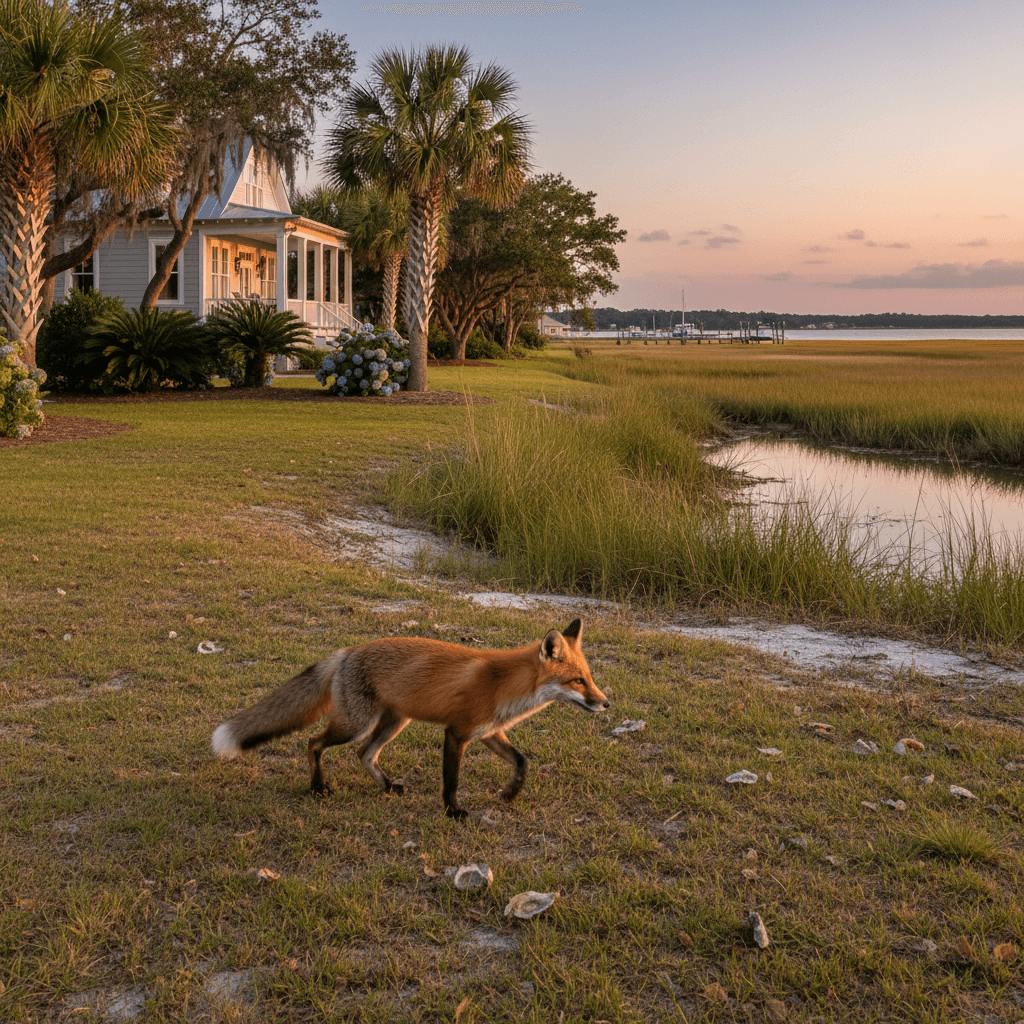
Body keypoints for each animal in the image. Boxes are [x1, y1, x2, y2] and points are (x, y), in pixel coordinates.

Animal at [211, 618, 608, 819]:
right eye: (578, 681)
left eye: (589, 677)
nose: (606, 703)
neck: (503, 685)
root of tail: (348, 651)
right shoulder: (457, 732)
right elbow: (451, 780)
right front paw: (453, 812)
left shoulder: (488, 733)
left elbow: (522, 762)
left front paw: (510, 793)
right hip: (355, 724)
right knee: (314, 743)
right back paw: (318, 787)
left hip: (392, 724)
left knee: (364, 755)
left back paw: (387, 786)